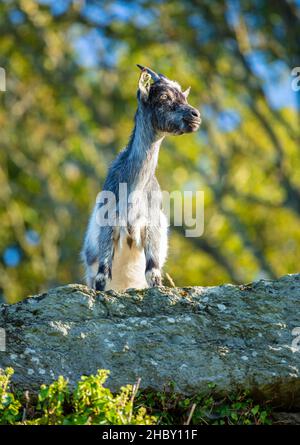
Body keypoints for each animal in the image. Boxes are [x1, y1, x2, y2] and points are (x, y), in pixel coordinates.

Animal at [81, 64, 202, 290]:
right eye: (163, 96)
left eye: (184, 97)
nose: (195, 115)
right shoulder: (106, 226)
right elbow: (102, 276)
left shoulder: (152, 229)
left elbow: (153, 274)